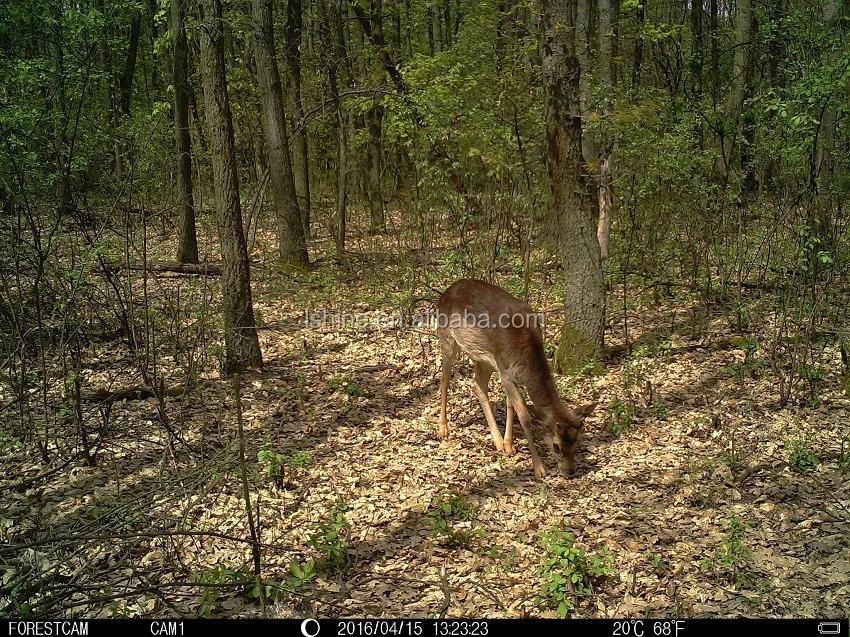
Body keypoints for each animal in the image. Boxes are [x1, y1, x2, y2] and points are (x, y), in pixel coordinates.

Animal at [436, 279, 597, 478]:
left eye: (577, 442)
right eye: (556, 445)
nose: (570, 472)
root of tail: (446, 292)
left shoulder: (508, 371)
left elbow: (510, 405)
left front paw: (508, 445)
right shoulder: (504, 370)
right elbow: (524, 416)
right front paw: (539, 468)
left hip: (484, 358)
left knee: (478, 385)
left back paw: (496, 440)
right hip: (447, 337)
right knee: (444, 380)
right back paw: (443, 428)